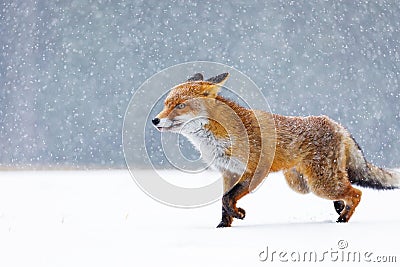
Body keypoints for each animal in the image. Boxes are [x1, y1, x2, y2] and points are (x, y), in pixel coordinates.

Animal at [152, 73, 398, 228]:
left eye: (180, 105)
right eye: (166, 104)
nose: (155, 120)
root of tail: (336, 124)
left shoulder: (254, 171)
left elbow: (228, 199)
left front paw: (237, 215)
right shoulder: (228, 172)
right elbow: (223, 202)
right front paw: (223, 226)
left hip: (320, 184)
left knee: (356, 193)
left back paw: (343, 220)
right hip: (301, 184)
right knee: (346, 190)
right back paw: (339, 208)